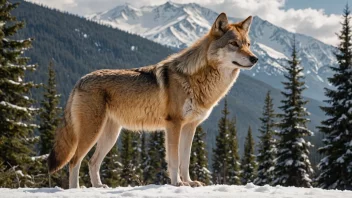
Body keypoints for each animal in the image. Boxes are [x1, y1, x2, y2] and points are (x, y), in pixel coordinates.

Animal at [48, 12, 258, 189]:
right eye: (234, 44)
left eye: (248, 44)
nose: (255, 59)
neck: (196, 79)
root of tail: (80, 80)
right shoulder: (174, 124)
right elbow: (174, 159)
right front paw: (177, 183)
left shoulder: (190, 127)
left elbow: (186, 160)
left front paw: (189, 182)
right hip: (91, 133)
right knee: (75, 161)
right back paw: (75, 189)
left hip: (110, 135)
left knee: (92, 162)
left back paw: (99, 187)